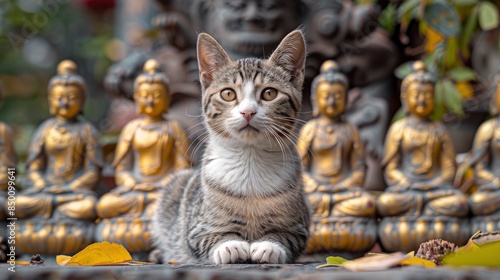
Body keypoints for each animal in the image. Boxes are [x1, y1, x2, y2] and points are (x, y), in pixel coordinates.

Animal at [150, 30, 310, 264]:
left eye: (269, 93)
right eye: (228, 94)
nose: (248, 111)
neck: (250, 160)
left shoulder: (299, 225)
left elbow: (286, 236)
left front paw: (270, 246)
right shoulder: (196, 225)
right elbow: (208, 236)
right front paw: (229, 245)